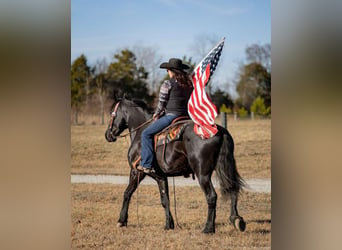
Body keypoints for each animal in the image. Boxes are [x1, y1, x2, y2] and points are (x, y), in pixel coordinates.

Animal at [104, 98, 246, 234]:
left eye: (112, 113)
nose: (107, 135)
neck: (140, 132)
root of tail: (220, 131)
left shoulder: (138, 171)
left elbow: (127, 193)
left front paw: (121, 221)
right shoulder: (161, 177)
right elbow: (165, 199)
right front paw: (169, 224)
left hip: (203, 174)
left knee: (211, 196)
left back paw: (208, 228)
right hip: (226, 168)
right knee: (233, 188)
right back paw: (236, 220)